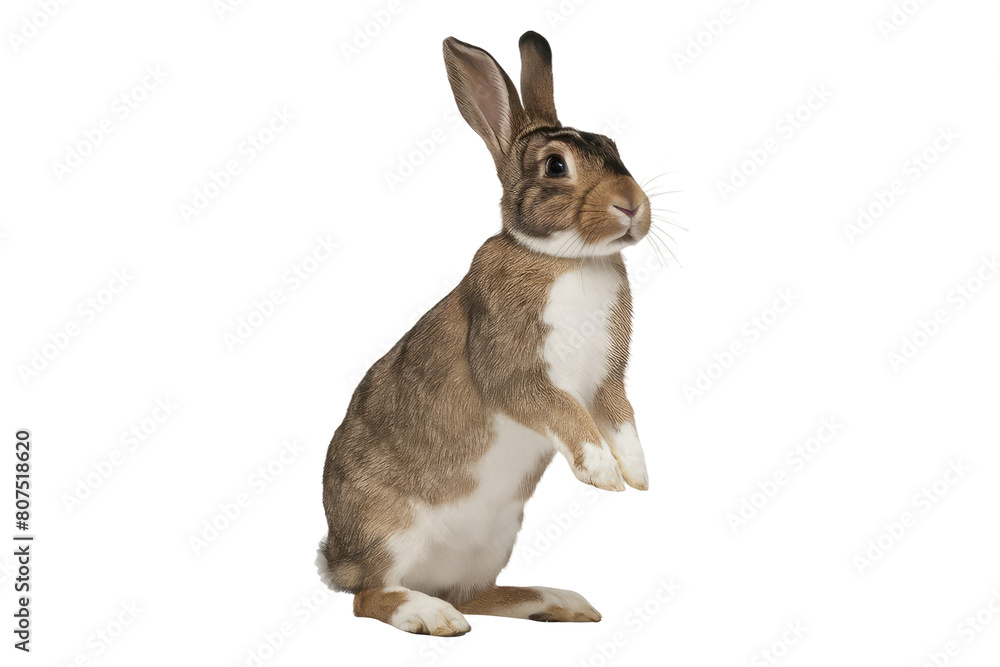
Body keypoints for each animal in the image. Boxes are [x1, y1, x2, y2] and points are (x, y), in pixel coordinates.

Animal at [318, 30, 652, 636]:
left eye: (613, 146)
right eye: (555, 165)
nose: (632, 206)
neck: (566, 259)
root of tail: (339, 560)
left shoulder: (608, 382)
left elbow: (621, 418)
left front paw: (635, 474)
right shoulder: (516, 373)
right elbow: (567, 414)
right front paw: (602, 474)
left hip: (492, 543)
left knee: (476, 594)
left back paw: (559, 601)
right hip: (391, 531)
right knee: (372, 597)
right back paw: (431, 615)